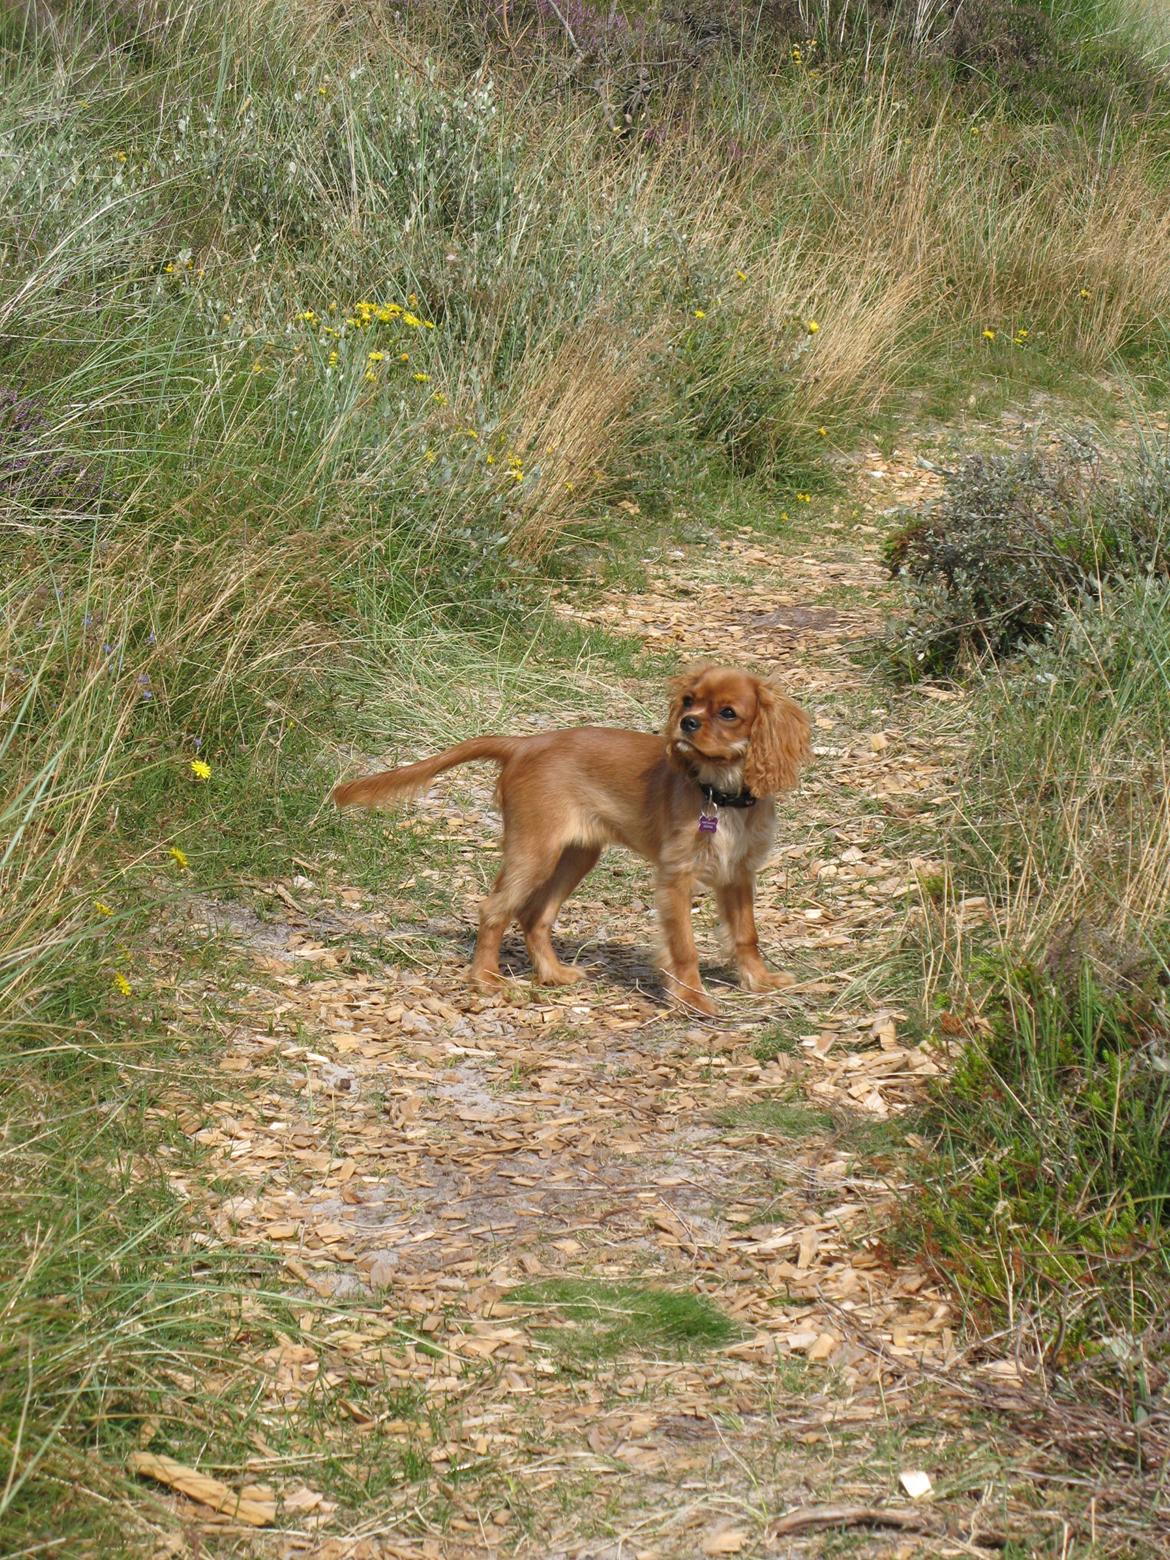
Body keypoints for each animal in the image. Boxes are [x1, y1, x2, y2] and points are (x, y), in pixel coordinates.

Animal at [327, 664, 804, 1017]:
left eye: (728, 713)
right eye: (689, 701)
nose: (686, 724)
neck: (720, 793)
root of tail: (523, 744)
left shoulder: (738, 874)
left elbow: (746, 934)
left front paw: (760, 980)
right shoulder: (676, 878)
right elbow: (684, 947)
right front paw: (692, 998)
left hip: (576, 855)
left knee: (535, 916)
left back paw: (553, 975)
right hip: (535, 850)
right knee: (495, 909)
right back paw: (485, 979)